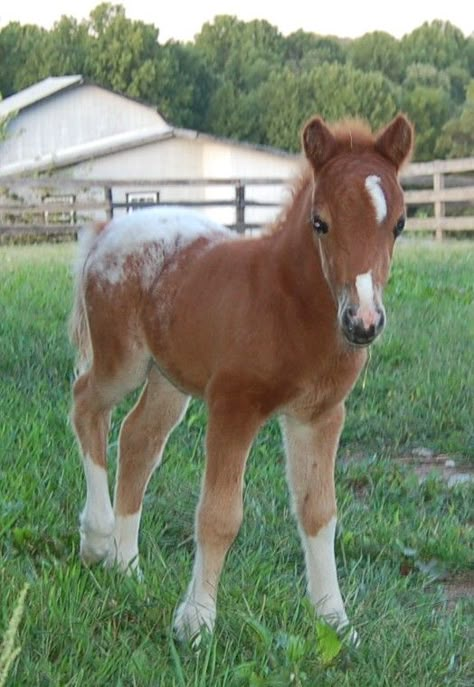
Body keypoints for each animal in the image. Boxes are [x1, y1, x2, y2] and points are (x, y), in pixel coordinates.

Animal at [70, 111, 414, 640]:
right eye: (320, 222)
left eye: (398, 223)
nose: (363, 322)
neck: (285, 304)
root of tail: (107, 230)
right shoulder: (234, 406)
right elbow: (219, 514)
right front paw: (195, 622)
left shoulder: (320, 416)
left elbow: (320, 513)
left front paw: (334, 621)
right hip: (121, 361)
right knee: (86, 403)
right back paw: (97, 538)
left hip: (168, 378)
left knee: (138, 439)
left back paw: (126, 566)